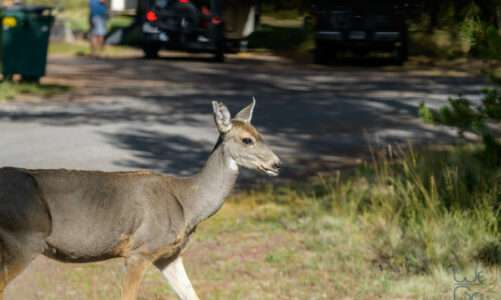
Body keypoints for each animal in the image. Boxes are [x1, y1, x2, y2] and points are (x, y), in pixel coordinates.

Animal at [0, 99, 280, 300]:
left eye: (260, 134)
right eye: (247, 140)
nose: (276, 163)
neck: (188, 203)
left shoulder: (169, 255)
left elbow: (191, 295)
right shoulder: (140, 250)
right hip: (23, 240)